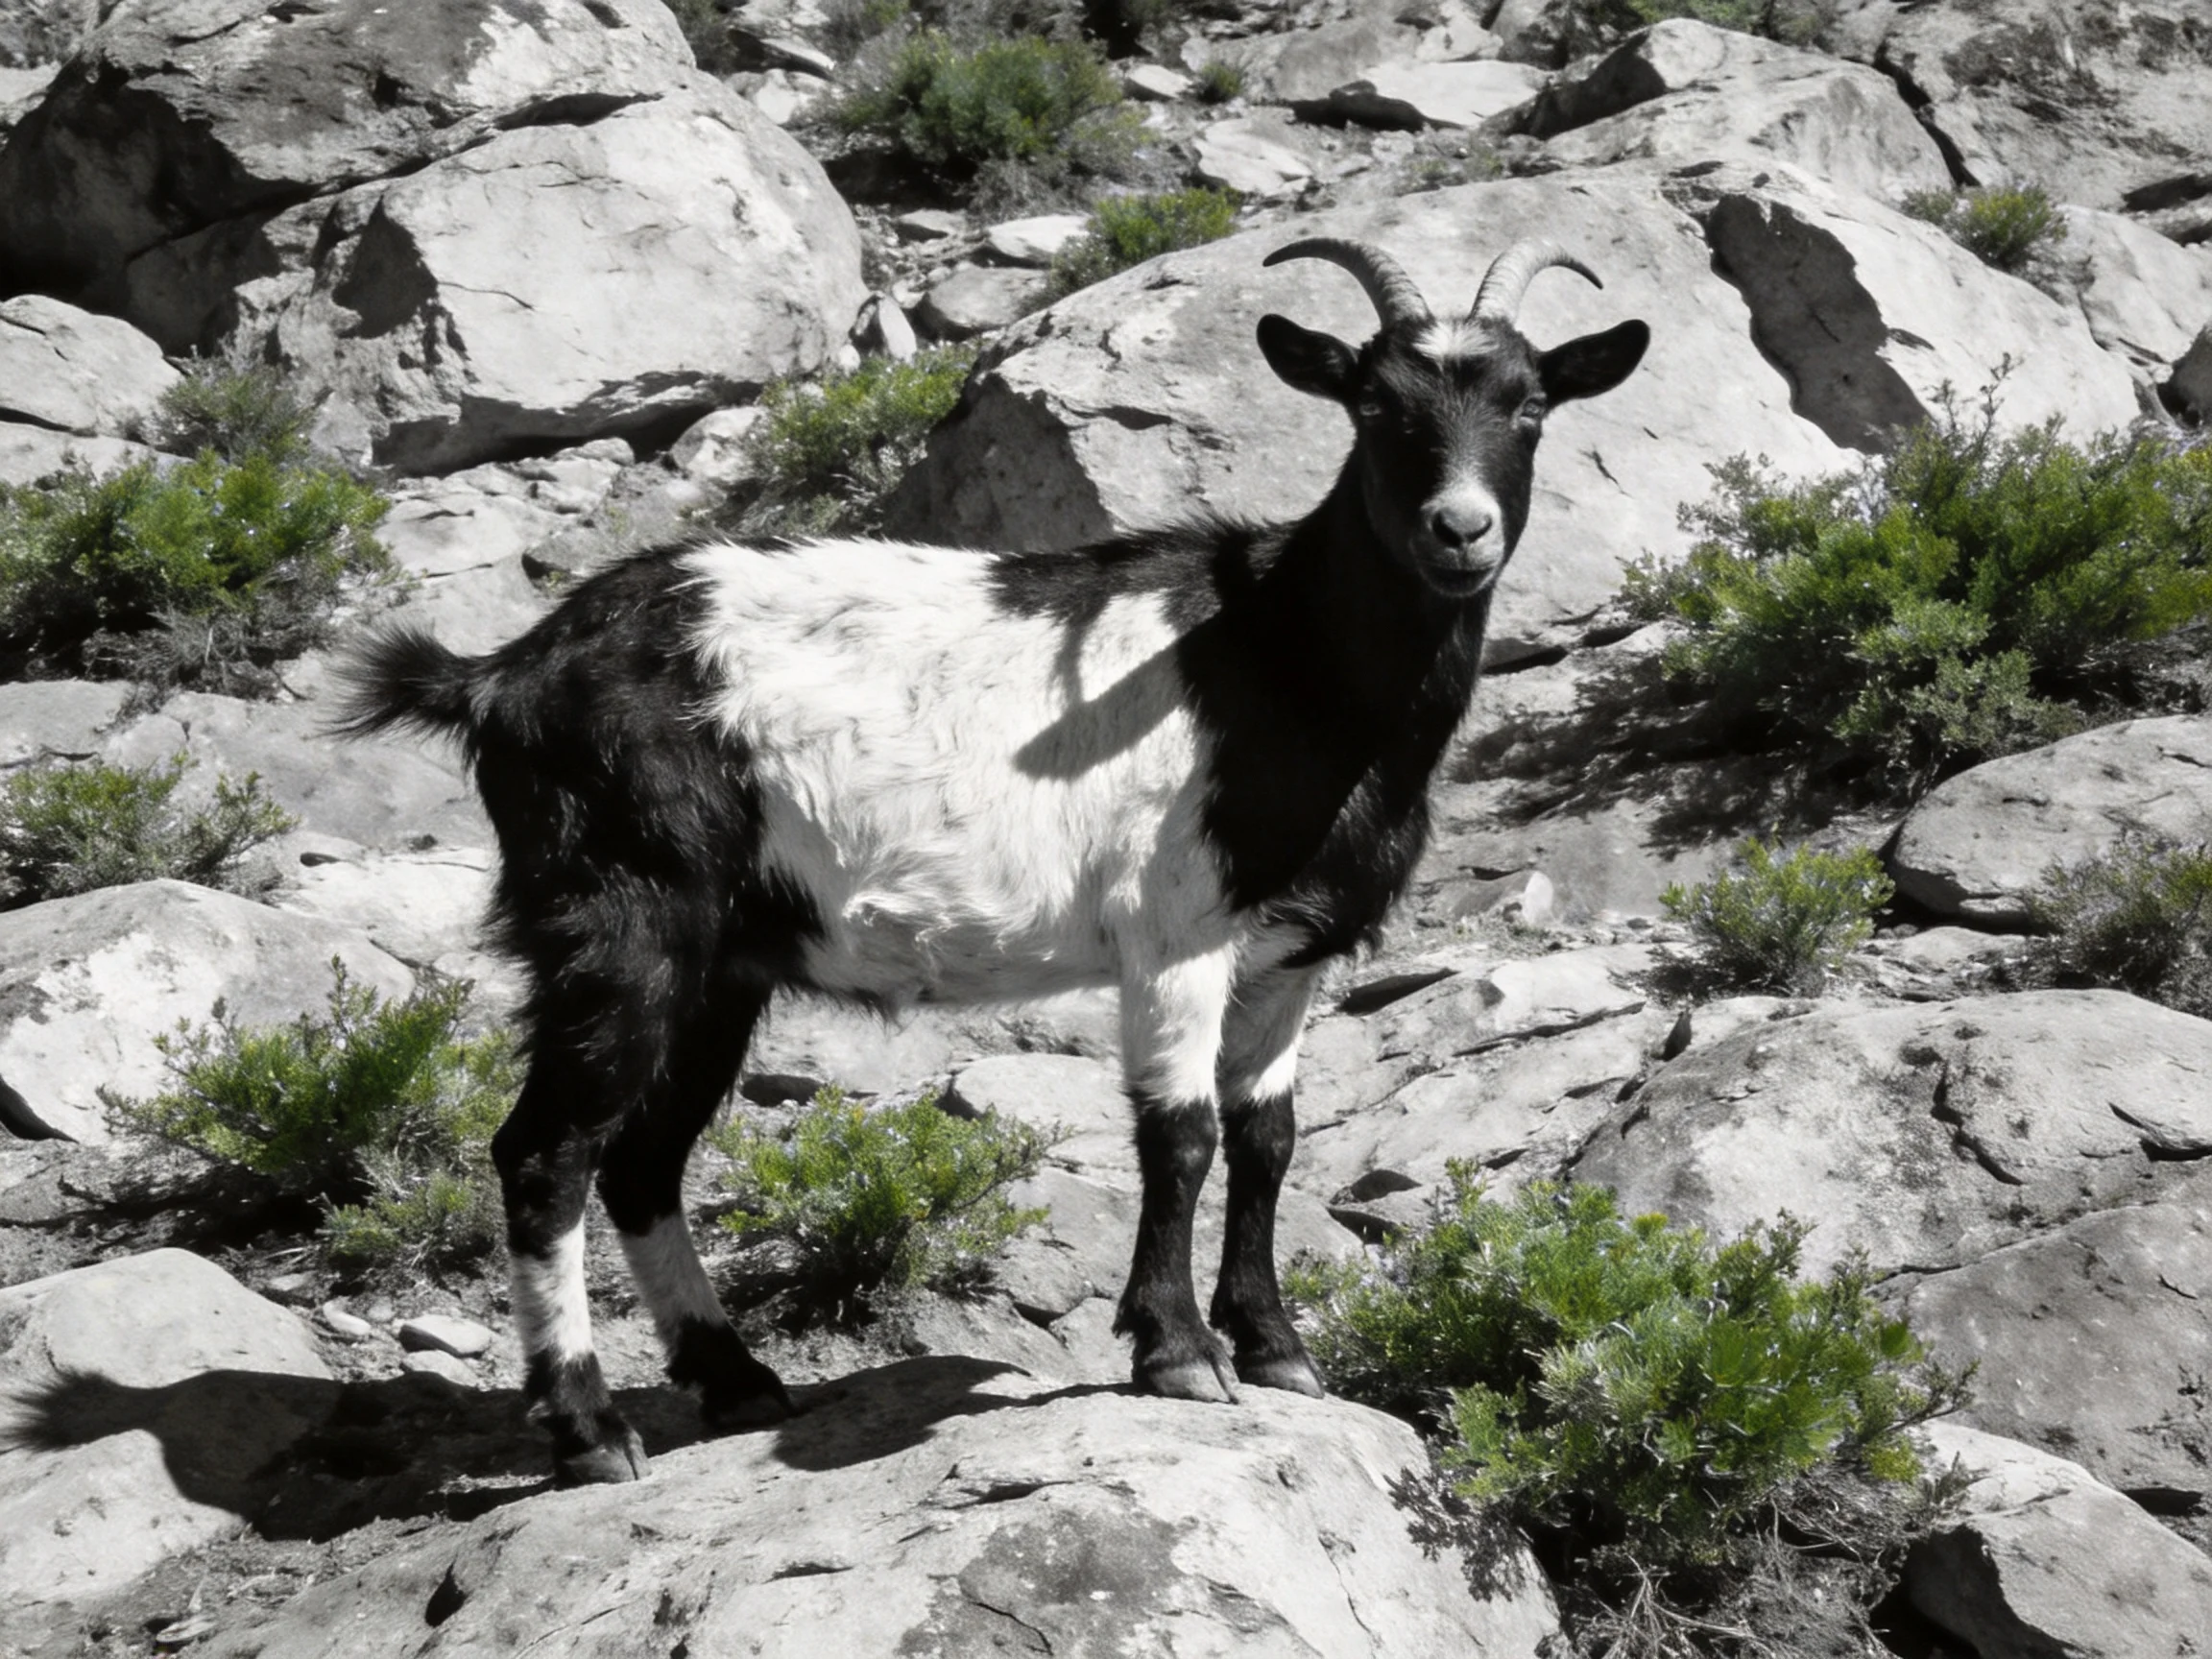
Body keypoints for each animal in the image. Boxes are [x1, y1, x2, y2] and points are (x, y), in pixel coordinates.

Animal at [339, 237, 1648, 1484]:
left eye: (1533, 404)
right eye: (1375, 406)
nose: (1460, 529)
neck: (1285, 663)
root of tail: (500, 677)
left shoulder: (1287, 951)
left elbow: (1268, 1136)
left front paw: (1278, 1349)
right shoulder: (1176, 930)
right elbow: (1181, 1132)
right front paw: (1179, 1353)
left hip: (721, 967)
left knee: (644, 1162)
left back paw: (737, 1381)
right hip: (617, 920)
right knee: (547, 1155)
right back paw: (591, 1431)